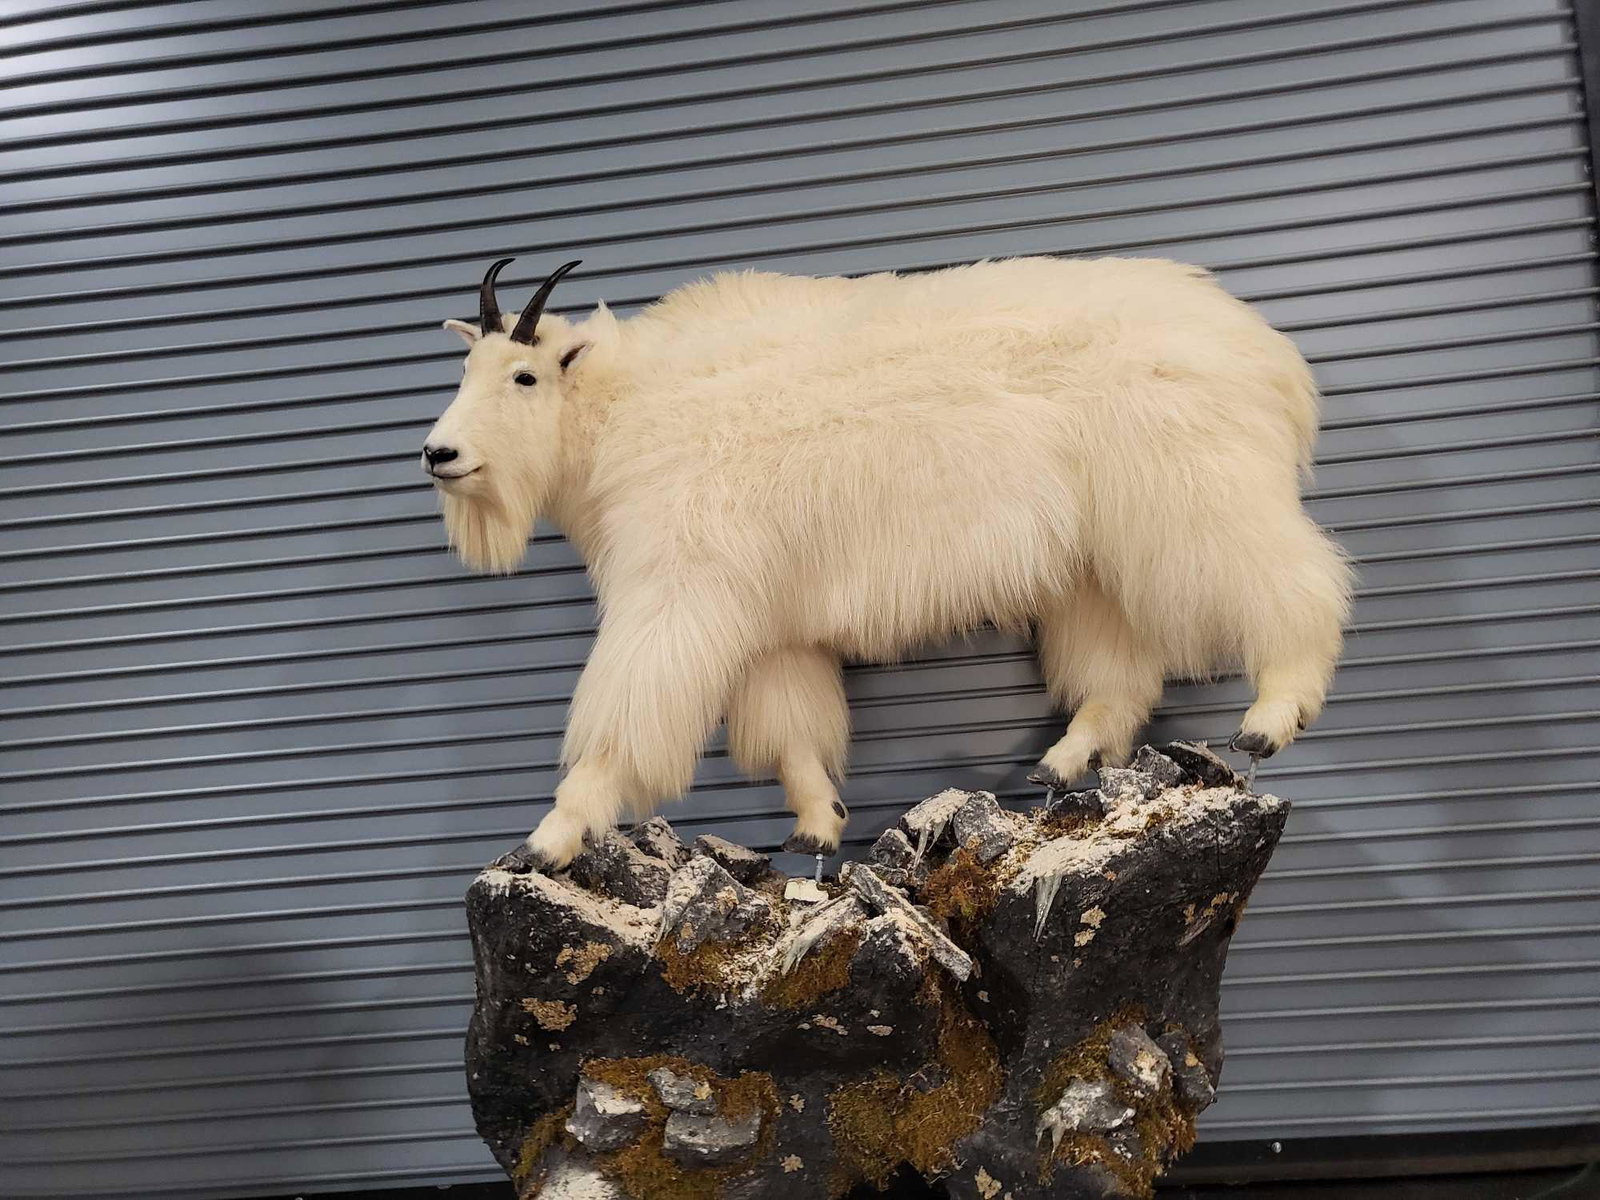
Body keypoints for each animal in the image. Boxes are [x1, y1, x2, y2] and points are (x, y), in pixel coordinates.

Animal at [423, 256, 1351, 870]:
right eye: (465, 366)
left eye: (525, 376)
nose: (440, 453)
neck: (625, 410)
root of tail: (1272, 358)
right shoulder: (767, 624)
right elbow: (792, 729)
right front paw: (820, 825)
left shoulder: (678, 586)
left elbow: (622, 717)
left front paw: (550, 838)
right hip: (1094, 557)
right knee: (1120, 671)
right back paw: (1062, 761)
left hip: (1195, 491)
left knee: (1293, 580)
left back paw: (1272, 716)